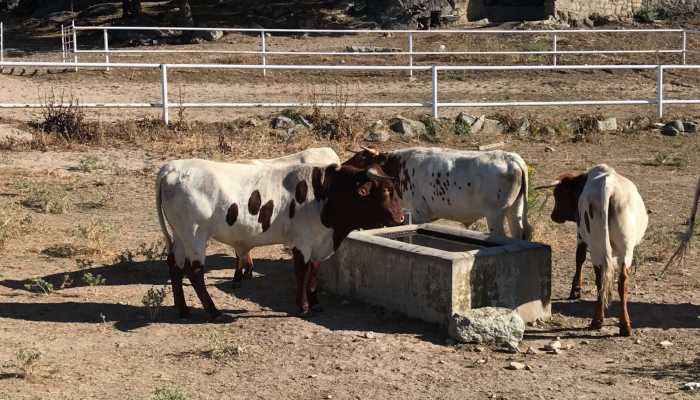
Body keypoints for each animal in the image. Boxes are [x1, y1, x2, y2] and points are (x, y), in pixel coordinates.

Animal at [155, 158, 402, 320]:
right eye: (385, 191)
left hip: (180, 235)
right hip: (194, 234)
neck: (324, 194)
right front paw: (302, 306)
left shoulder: (319, 244)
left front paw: (315, 304)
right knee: (194, 271)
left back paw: (183, 309)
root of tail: (172, 168)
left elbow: (314, 273)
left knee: (175, 266)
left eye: (395, 189)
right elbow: (302, 273)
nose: (400, 217)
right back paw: (214, 312)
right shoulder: (302, 242)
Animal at [344, 148, 532, 239]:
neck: (398, 167)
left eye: (360, 158)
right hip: (515, 209)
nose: (343, 166)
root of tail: (511, 158)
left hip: (495, 215)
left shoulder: (419, 214)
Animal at [540, 164, 652, 336]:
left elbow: (579, 258)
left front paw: (575, 290)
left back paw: (602, 321)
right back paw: (618, 324)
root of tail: (608, 187)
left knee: (604, 278)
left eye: (558, 194)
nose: (554, 215)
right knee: (618, 280)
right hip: (623, 249)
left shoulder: (580, 233)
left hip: (599, 245)